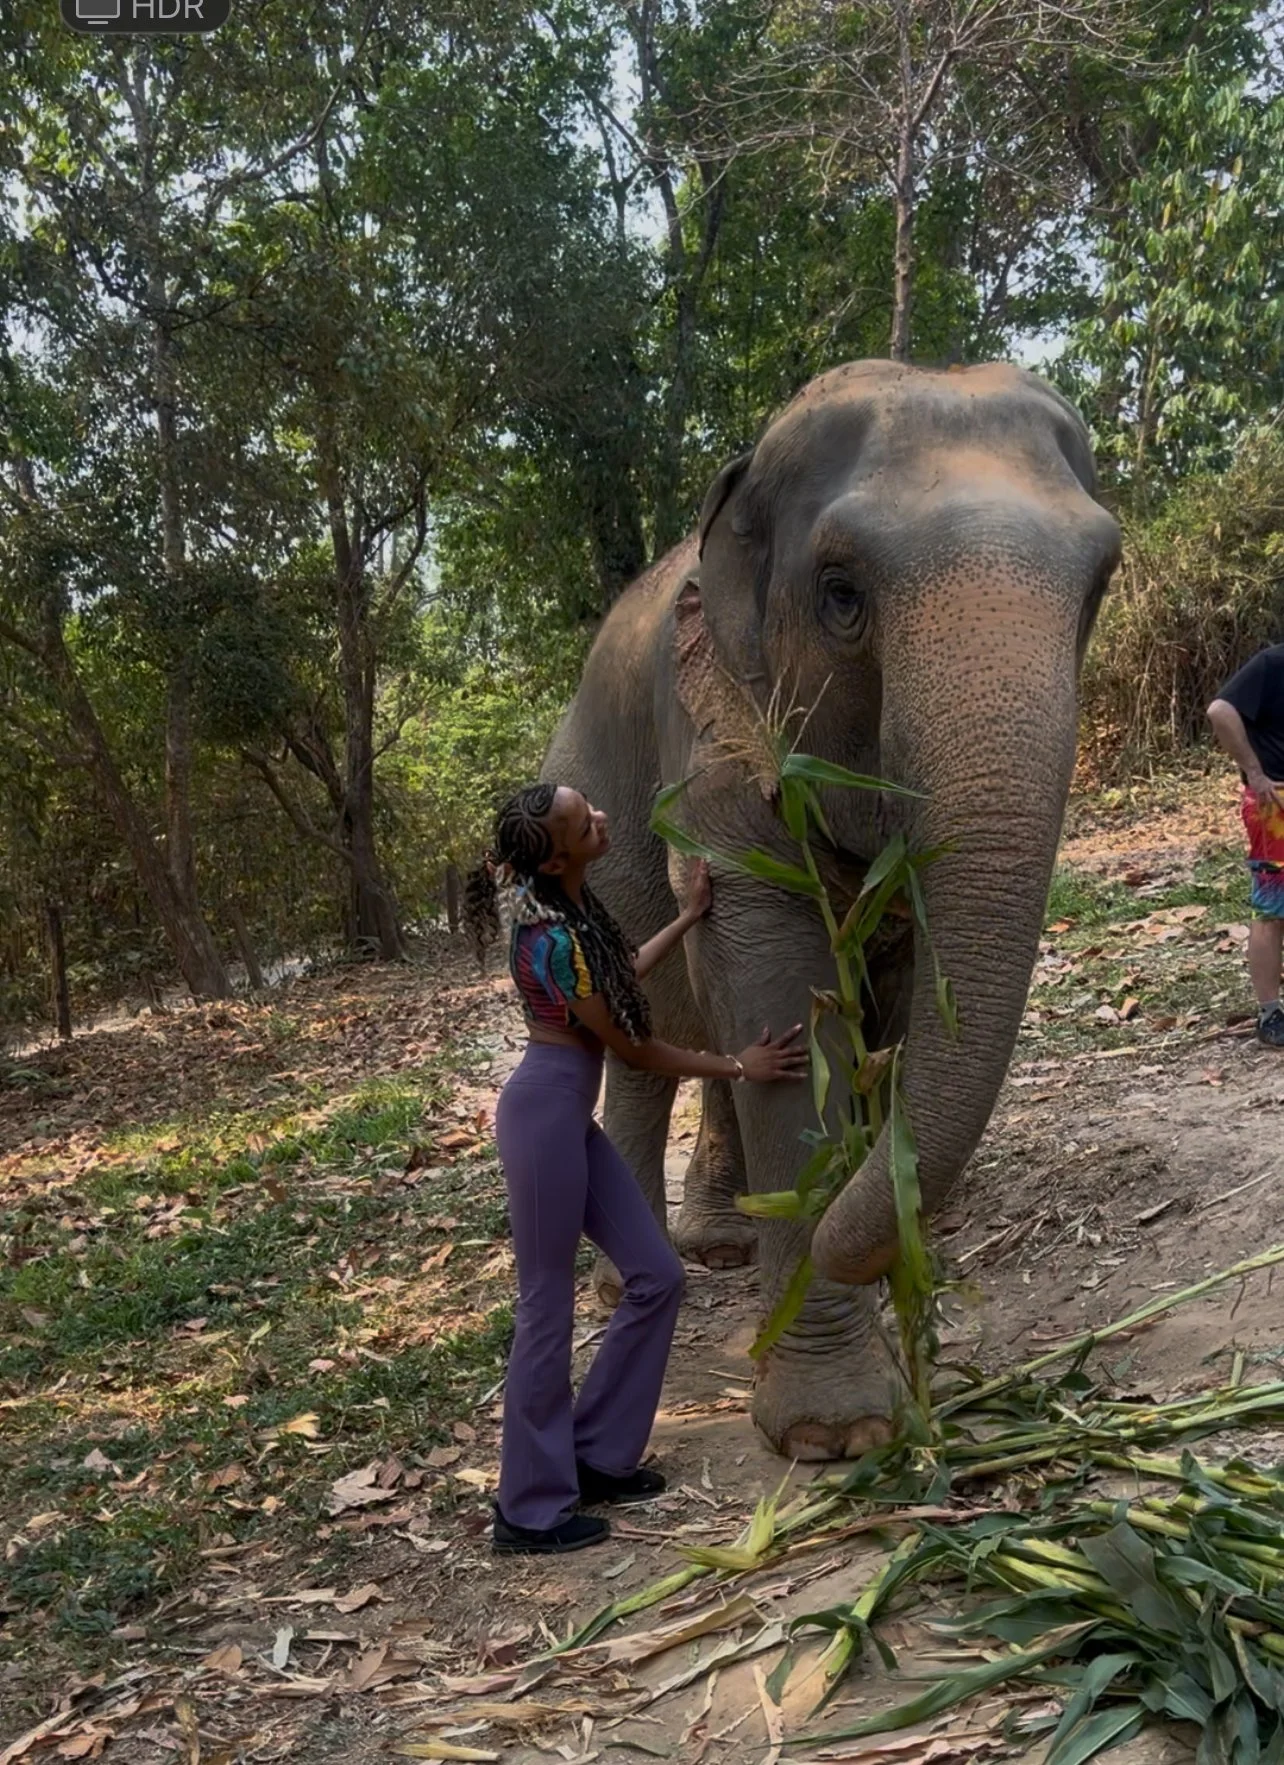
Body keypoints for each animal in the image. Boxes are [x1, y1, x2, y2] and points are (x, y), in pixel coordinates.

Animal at [538, 359, 1121, 1461]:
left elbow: (882, 1002)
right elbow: (774, 978)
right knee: (645, 1045)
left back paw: (724, 1242)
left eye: (1100, 584)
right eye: (841, 594)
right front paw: (835, 1432)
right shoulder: (714, 730)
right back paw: (630, 1277)